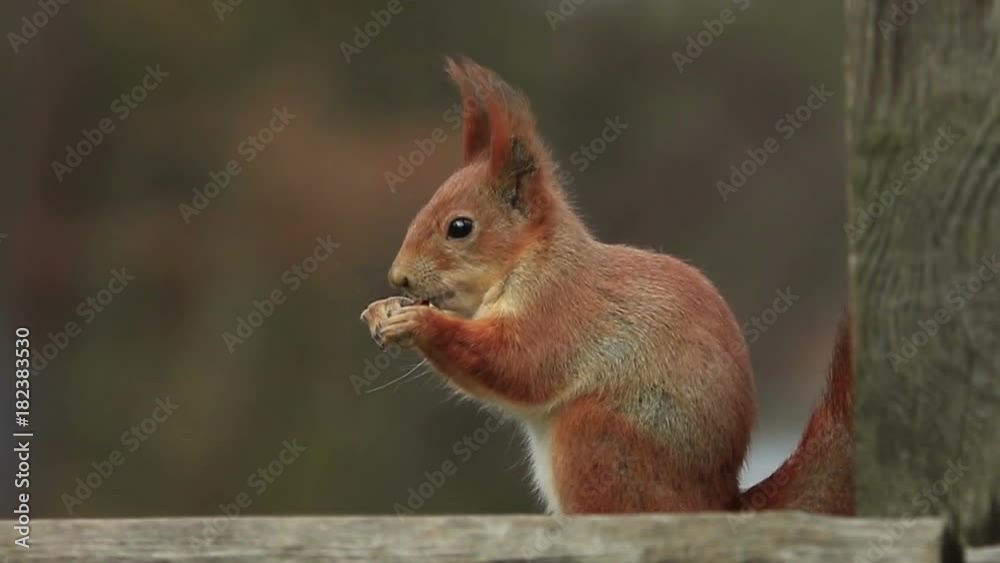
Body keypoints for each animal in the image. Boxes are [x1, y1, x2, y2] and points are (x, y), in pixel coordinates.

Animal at [360, 57, 853, 515]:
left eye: (459, 227)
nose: (399, 277)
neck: (529, 258)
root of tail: (716, 504)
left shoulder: (558, 307)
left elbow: (519, 363)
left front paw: (418, 322)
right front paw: (382, 310)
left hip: (598, 437)